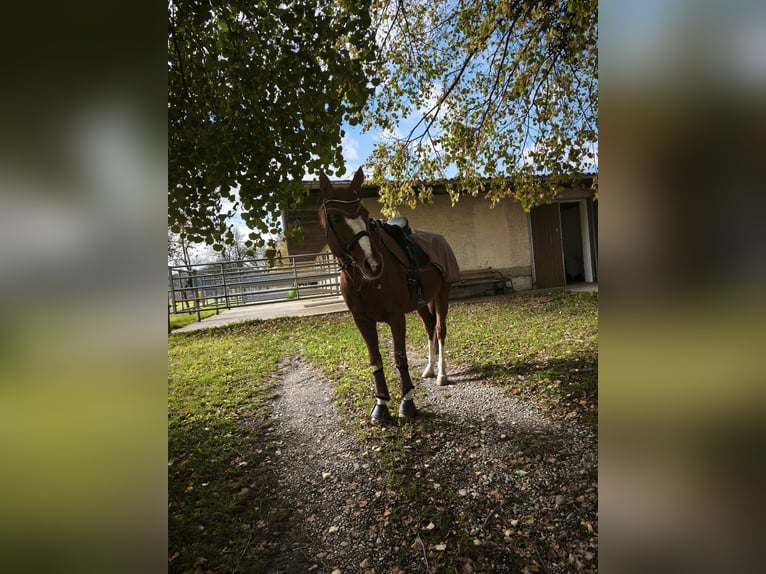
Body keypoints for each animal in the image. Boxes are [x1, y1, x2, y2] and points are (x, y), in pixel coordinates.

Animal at [318, 168, 459, 422]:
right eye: (336, 218)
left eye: (365, 214)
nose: (373, 264)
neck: (363, 282)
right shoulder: (362, 321)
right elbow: (375, 359)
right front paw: (381, 405)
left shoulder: (396, 317)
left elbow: (399, 357)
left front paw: (407, 403)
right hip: (422, 303)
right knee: (430, 328)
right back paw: (429, 369)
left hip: (442, 294)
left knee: (440, 330)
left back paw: (442, 374)